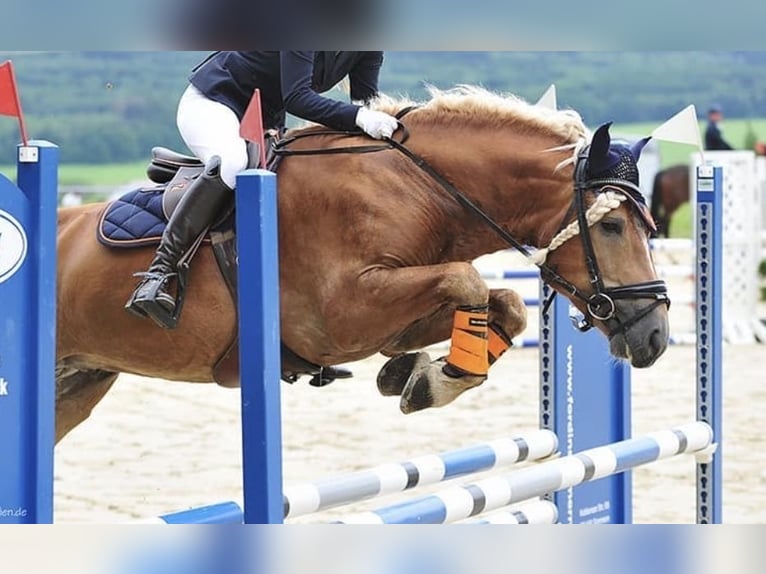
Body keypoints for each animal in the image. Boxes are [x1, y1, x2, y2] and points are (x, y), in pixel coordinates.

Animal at [55, 86, 670, 444]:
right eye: (612, 227)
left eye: (650, 228)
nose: (657, 336)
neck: (420, 188)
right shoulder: (340, 315)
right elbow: (468, 279)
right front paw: (434, 379)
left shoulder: (386, 315)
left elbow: (505, 303)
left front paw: (418, 375)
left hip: (80, 381)